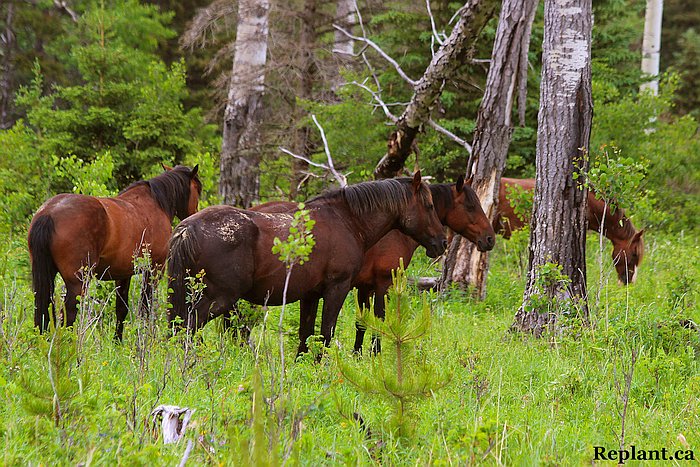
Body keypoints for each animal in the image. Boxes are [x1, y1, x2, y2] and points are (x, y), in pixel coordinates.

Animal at [28, 165, 200, 340]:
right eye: (197, 189)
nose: (194, 214)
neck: (156, 204)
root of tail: (49, 213)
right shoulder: (154, 269)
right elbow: (145, 307)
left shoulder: (123, 274)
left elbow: (121, 309)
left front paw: (118, 340)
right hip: (78, 282)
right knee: (68, 314)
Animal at [167, 174, 446, 356]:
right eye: (430, 205)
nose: (442, 242)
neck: (346, 220)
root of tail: (188, 228)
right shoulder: (338, 288)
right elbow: (326, 332)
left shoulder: (310, 295)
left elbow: (306, 334)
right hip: (219, 298)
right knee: (188, 328)